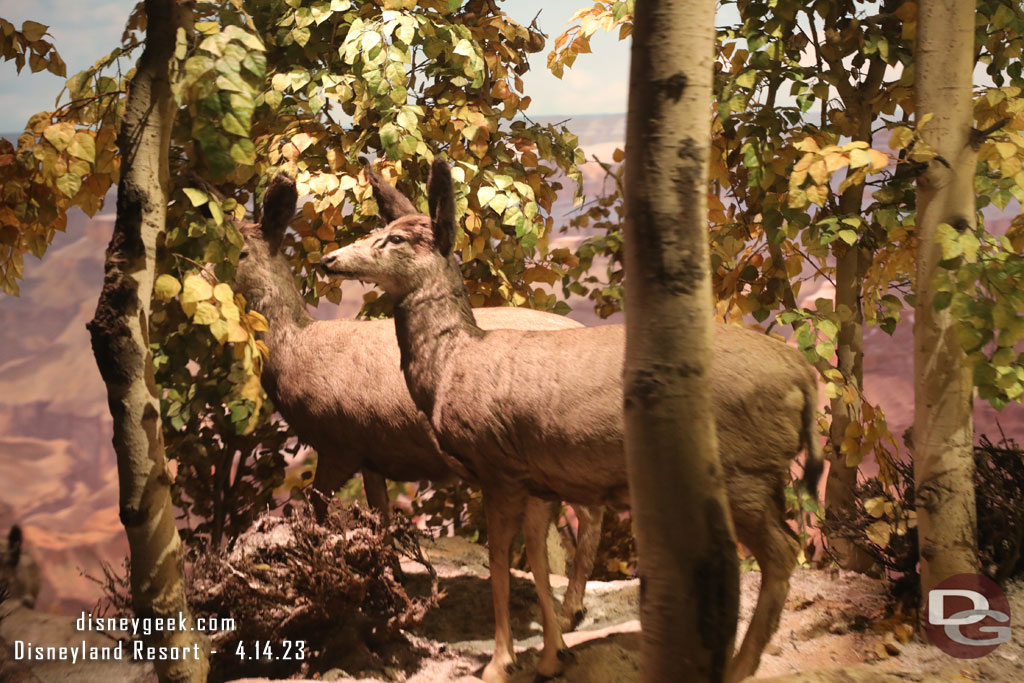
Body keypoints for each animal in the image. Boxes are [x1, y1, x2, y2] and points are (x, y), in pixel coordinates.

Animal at [231, 175, 598, 630]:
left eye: (241, 249)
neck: (295, 347)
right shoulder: (371, 451)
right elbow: (382, 517)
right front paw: (391, 583)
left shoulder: (338, 441)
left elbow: (318, 512)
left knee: (588, 516)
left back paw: (569, 611)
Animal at [323, 157, 827, 679]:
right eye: (378, 229)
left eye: (396, 238)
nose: (330, 259)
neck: (451, 365)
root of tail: (802, 373)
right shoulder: (538, 479)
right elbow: (540, 561)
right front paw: (553, 652)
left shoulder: (497, 467)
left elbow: (500, 561)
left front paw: (500, 661)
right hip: (766, 475)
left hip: (742, 472)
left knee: (781, 552)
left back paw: (739, 666)